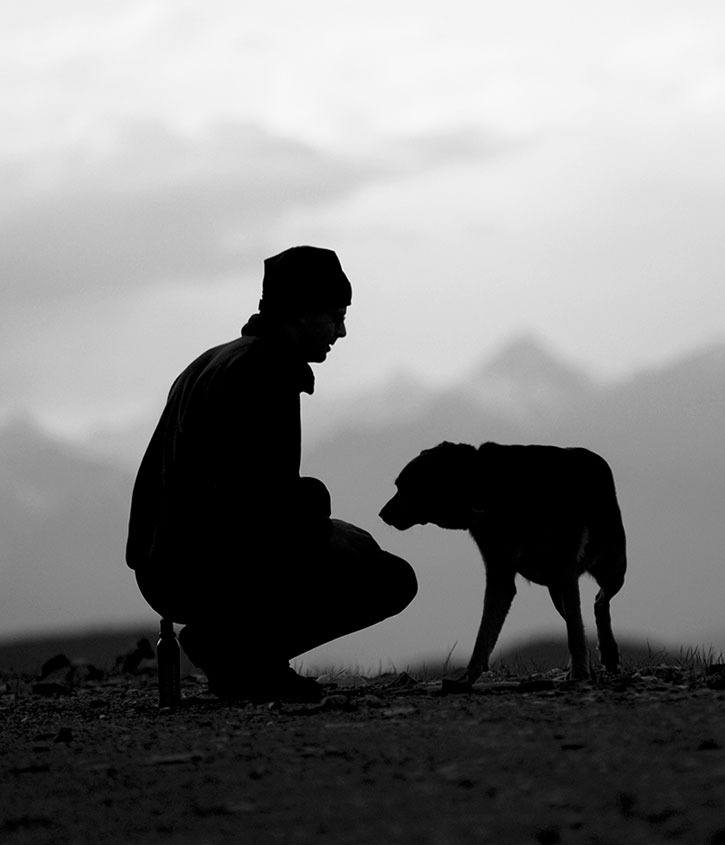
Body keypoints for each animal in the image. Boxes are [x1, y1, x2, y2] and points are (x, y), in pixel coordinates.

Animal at [378, 442, 628, 684]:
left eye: (404, 487)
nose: (381, 514)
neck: (485, 489)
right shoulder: (500, 574)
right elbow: (485, 633)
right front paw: (468, 676)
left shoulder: (564, 569)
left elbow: (575, 630)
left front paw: (579, 673)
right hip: (556, 588)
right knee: (583, 613)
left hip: (612, 569)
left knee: (599, 602)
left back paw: (607, 652)